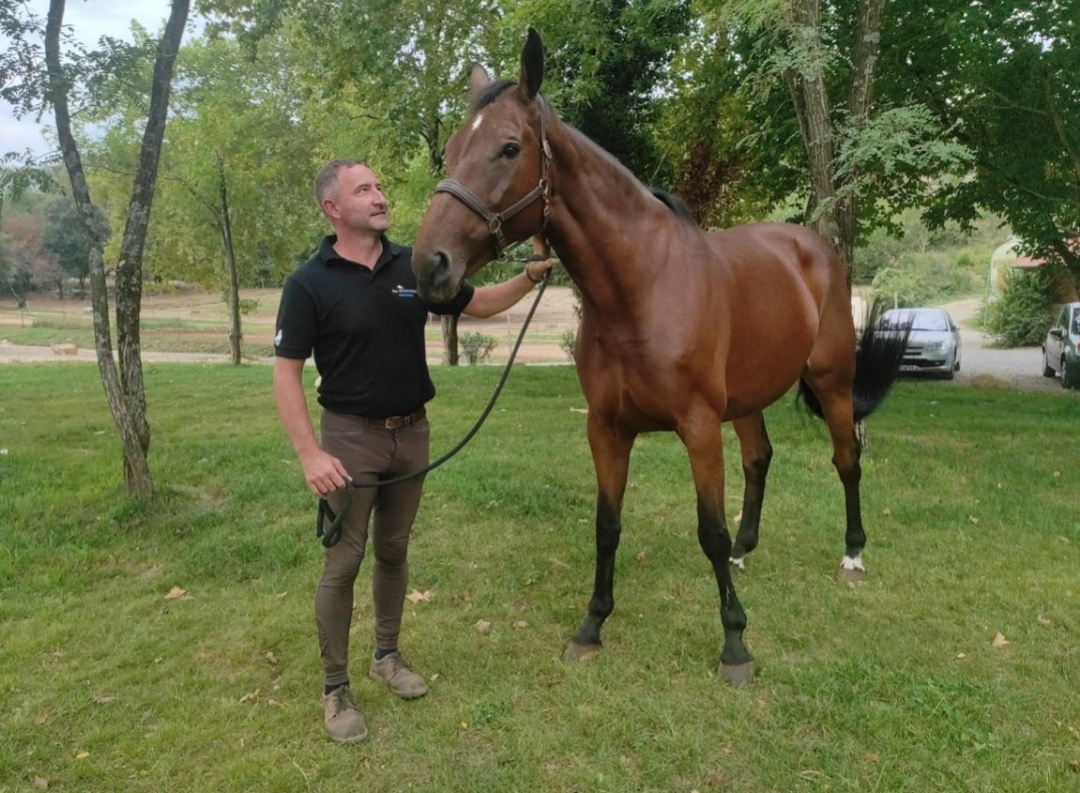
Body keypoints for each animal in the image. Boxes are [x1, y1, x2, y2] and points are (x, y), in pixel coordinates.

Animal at [411, 29, 908, 686]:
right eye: (449, 149)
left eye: (509, 148)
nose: (429, 265)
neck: (640, 290)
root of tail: (813, 248)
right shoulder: (606, 428)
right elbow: (607, 526)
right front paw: (592, 626)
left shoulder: (697, 426)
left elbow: (708, 529)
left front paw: (735, 644)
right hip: (746, 398)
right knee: (759, 459)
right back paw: (746, 551)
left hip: (831, 381)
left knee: (847, 458)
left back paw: (852, 553)